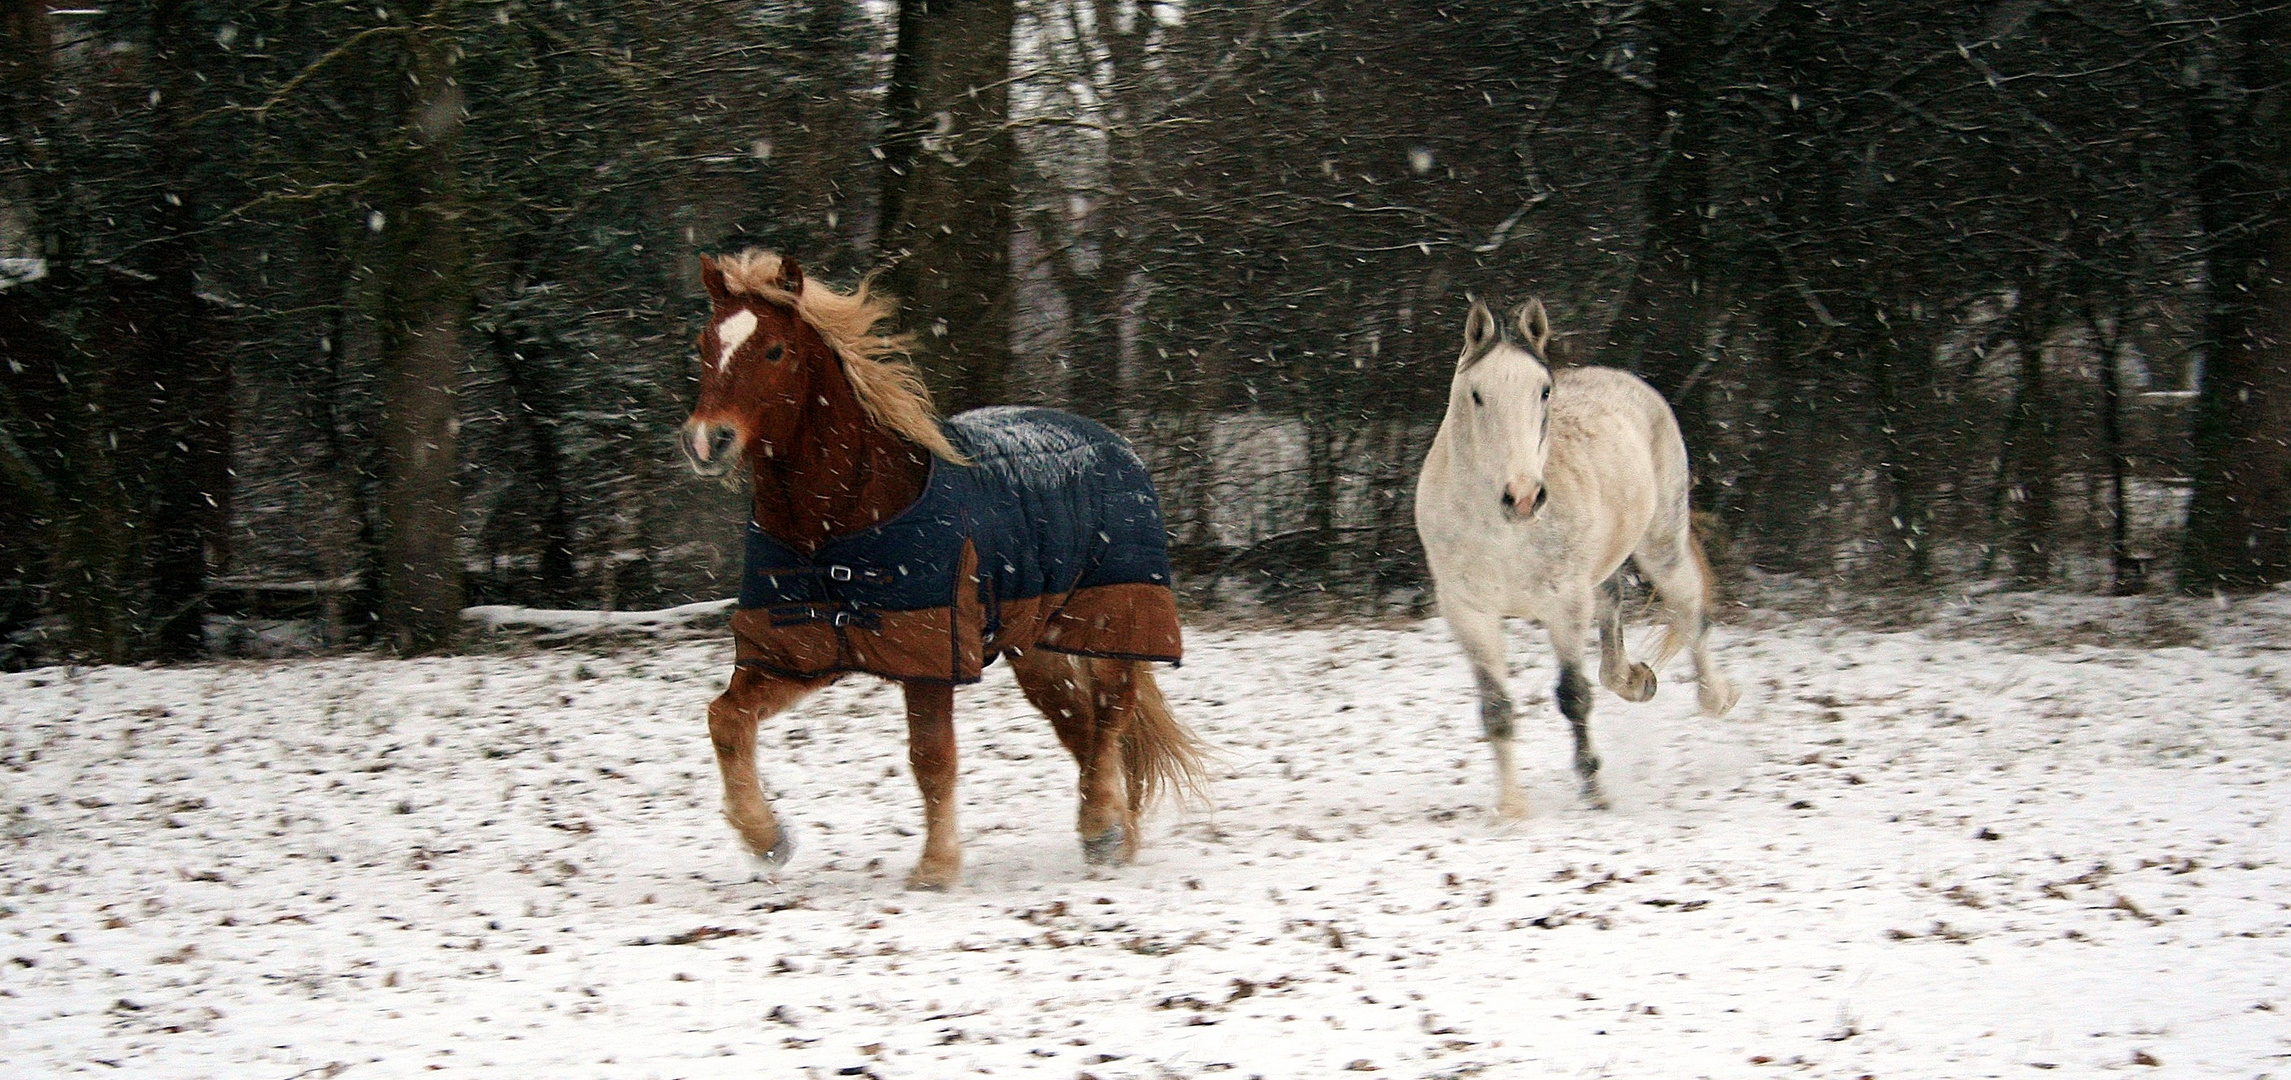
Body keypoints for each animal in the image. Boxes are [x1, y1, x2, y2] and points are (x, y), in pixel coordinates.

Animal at [678, 253, 1209, 894]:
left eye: (776, 350)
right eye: (704, 343)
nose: (707, 440)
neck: (836, 523)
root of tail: (1115, 444)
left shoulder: (931, 652)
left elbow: (931, 758)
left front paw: (935, 869)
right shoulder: (802, 648)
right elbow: (727, 717)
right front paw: (768, 839)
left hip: (1111, 622)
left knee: (1109, 717)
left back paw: (1105, 829)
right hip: (1035, 647)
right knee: (1079, 725)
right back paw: (1113, 832)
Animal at [1411, 295, 1731, 820]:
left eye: (1543, 392)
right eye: (1476, 395)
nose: (1523, 497)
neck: (1503, 531)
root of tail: (1628, 383)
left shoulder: (1563, 603)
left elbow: (1573, 696)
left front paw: (1594, 790)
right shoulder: (1469, 611)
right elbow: (1496, 708)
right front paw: (1511, 809)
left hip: (1661, 541)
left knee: (1689, 612)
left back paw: (1716, 698)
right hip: (1602, 568)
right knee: (1614, 606)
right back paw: (1636, 680)